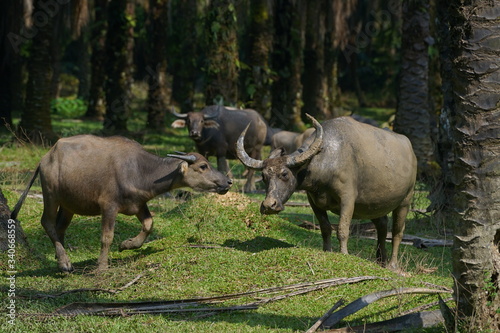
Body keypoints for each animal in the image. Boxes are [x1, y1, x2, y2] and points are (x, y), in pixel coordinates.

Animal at [9, 134, 232, 272]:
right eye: (203, 166)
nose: (228, 182)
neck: (140, 170)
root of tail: (45, 159)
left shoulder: (139, 204)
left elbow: (149, 224)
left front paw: (127, 245)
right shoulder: (109, 206)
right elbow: (106, 237)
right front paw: (102, 265)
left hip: (68, 205)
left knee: (59, 227)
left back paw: (60, 259)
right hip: (50, 195)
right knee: (46, 222)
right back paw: (65, 263)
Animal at [236, 115, 416, 268]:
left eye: (285, 174)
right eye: (264, 176)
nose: (268, 205)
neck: (325, 160)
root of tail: (411, 150)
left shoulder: (347, 199)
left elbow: (342, 229)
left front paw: (344, 254)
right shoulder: (314, 202)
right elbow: (325, 228)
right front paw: (327, 251)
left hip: (405, 201)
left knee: (397, 232)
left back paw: (392, 265)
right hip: (374, 205)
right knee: (382, 227)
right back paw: (381, 261)